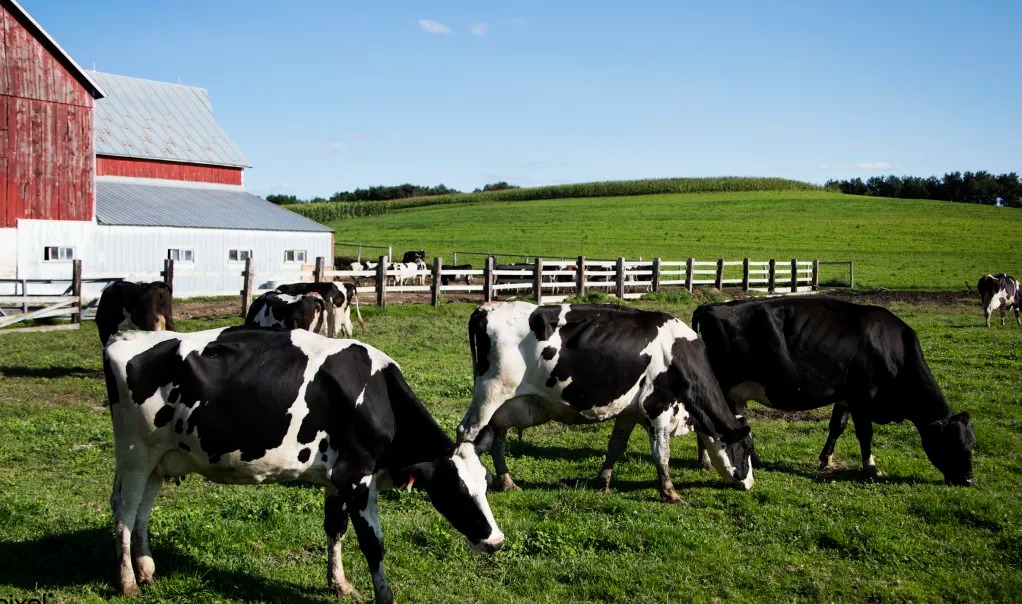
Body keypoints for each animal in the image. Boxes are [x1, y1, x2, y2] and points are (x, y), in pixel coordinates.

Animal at [103, 329, 502, 600]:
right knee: (124, 512)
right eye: (455, 490)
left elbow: (336, 530)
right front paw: (384, 596)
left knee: (141, 512)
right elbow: (373, 543)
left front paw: (339, 584)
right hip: (136, 454)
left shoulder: (335, 478)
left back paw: (146, 570)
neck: (377, 397)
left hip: (158, 460)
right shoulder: (356, 476)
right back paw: (127, 582)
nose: (497, 541)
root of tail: (125, 338)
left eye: (485, 484)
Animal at [459, 300, 756, 502]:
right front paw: (670, 493)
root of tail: (486, 309)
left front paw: (602, 482)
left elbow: (615, 446)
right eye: (745, 449)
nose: (751, 483)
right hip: (489, 394)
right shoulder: (658, 407)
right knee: (467, 433)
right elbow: (661, 454)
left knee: (497, 439)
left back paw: (507, 482)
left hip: (503, 405)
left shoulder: (629, 412)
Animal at [694, 294, 972, 486]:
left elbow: (837, 426)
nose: (968, 480)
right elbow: (865, 434)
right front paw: (871, 467)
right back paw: (706, 462)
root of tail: (709, 307)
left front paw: (825, 459)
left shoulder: (845, 397)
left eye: (972, 444)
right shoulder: (863, 397)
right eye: (954, 444)